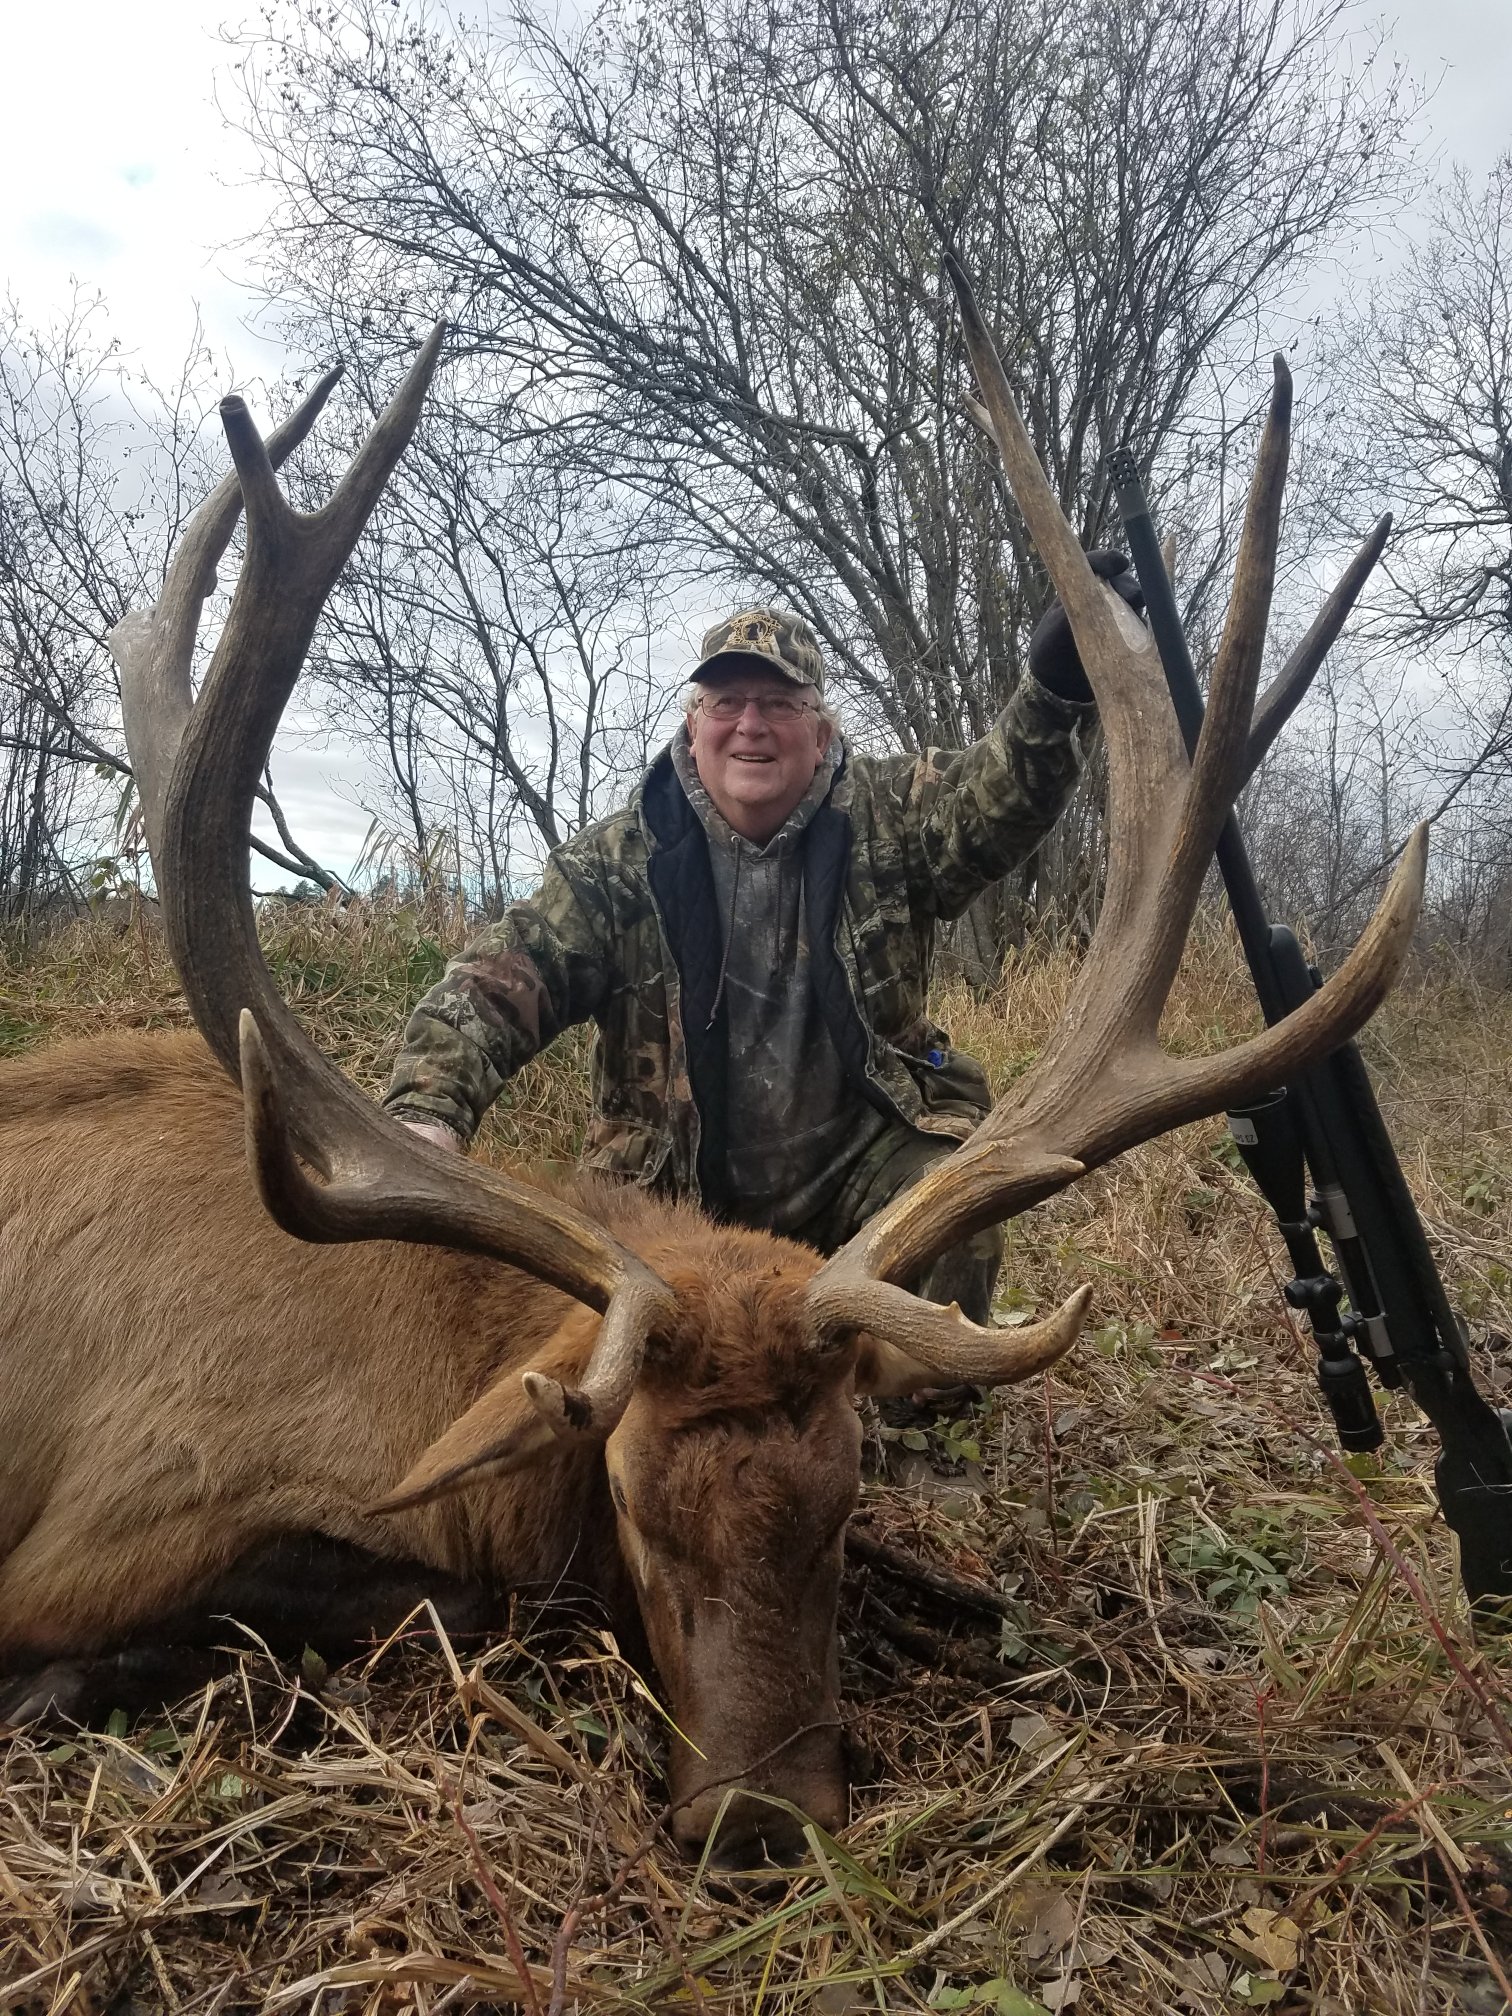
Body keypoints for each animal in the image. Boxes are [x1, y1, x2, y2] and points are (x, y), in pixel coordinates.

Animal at [0, 265, 1425, 1867]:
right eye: (629, 1498)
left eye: (848, 1494)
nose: (759, 1814)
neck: (438, 1375)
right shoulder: (110, 1525)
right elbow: (436, 1595)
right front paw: (68, 1681)